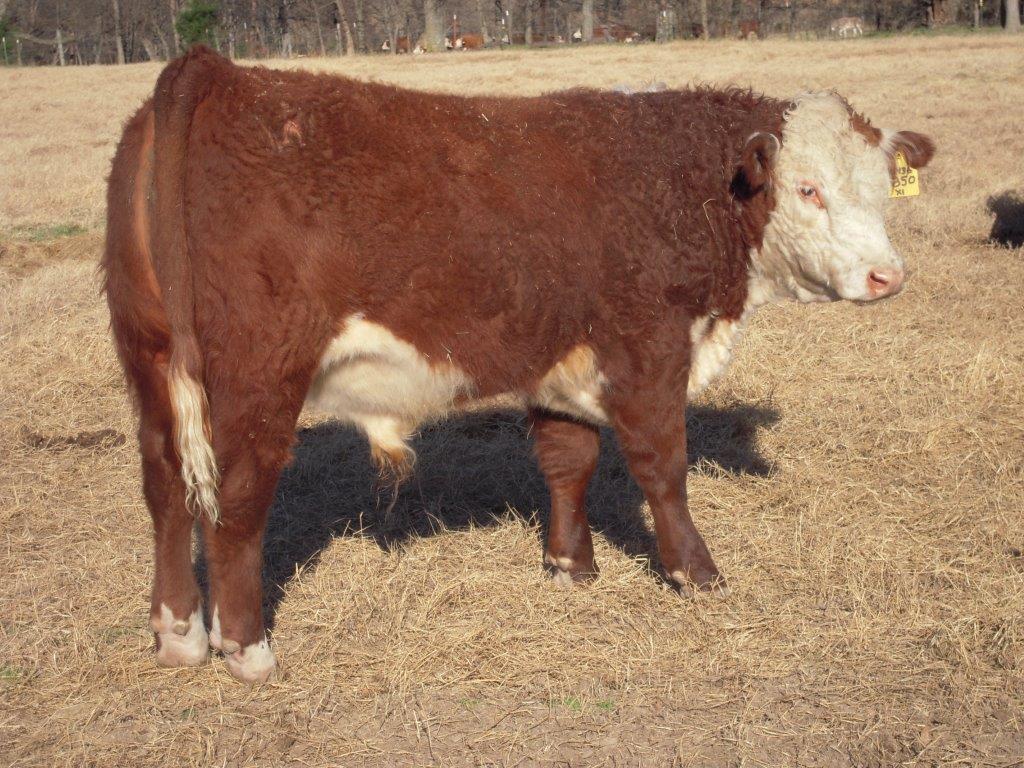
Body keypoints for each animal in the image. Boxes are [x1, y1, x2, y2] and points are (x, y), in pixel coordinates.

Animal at [103, 47, 934, 683]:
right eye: (808, 189)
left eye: (882, 191)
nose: (887, 276)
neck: (675, 183)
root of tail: (219, 74)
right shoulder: (650, 348)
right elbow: (663, 467)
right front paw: (695, 573)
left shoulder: (561, 358)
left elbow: (568, 460)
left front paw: (570, 565)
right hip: (256, 376)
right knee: (237, 499)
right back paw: (246, 649)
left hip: (150, 361)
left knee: (166, 487)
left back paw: (177, 634)